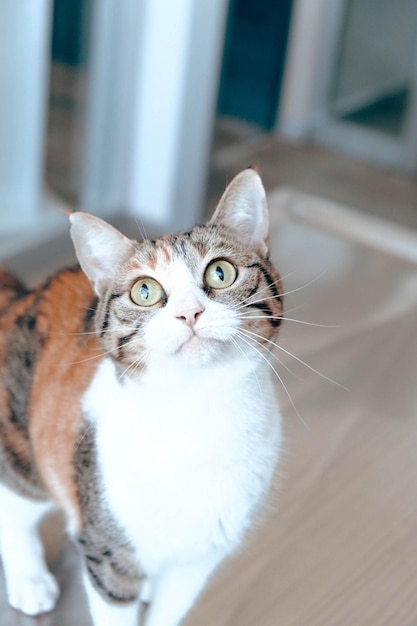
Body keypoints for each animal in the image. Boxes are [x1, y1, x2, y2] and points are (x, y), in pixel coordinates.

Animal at [0, 168, 282, 620]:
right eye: (144, 291)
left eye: (221, 272)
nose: (189, 313)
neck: (197, 414)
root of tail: (21, 295)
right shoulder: (109, 551)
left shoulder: (200, 560)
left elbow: (171, 611)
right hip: (24, 450)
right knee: (14, 505)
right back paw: (30, 579)